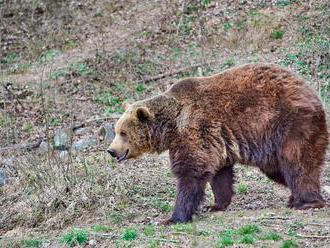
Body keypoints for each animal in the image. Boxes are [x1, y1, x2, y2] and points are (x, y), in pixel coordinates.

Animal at [107, 63, 328, 224]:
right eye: (116, 131)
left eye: (123, 133)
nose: (111, 150)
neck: (171, 125)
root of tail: (310, 91)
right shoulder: (216, 141)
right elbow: (220, 174)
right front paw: (216, 205)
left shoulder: (194, 130)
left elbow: (191, 173)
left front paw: (174, 217)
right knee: (279, 170)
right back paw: (295, 198)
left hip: (289, 124)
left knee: (297, 163)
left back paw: (307, 202)